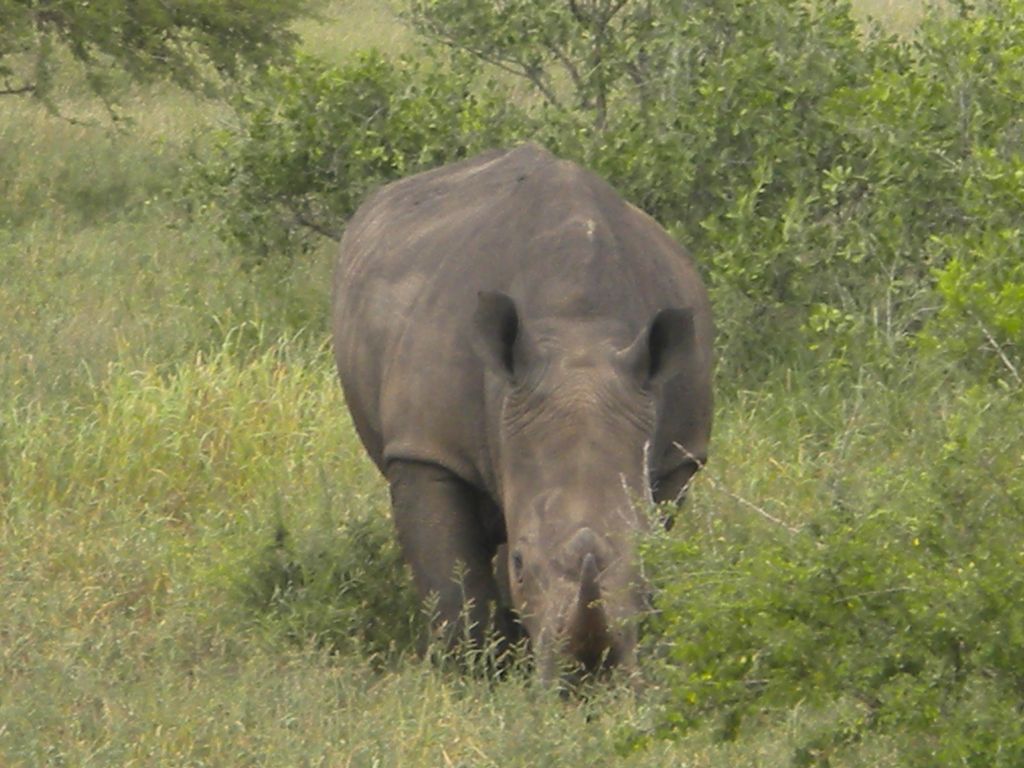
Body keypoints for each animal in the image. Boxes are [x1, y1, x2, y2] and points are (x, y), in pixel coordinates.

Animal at [332, 143, 713, 681]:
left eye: (644, 567)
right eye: (521, 566)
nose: (588, 681)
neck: (580, 332)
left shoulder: (679, 453)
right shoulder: (427, 447)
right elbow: (451, 581)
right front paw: (471, 676)